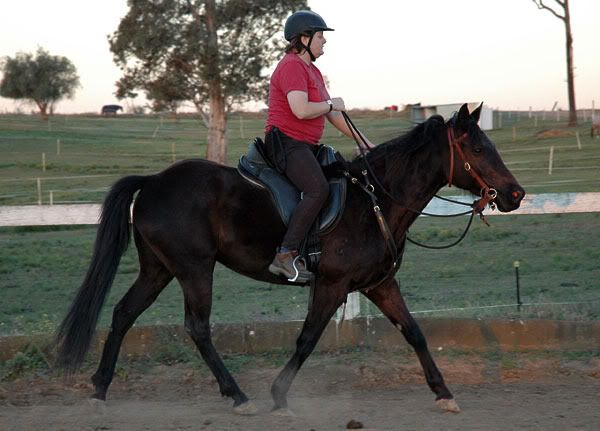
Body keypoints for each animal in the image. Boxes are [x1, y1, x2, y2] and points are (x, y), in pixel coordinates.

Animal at [56, 104, 524, 416]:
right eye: (476, 148)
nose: (515, 194)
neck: (374, 201)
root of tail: (153, 181)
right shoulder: (332, 286)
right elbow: (307, 339)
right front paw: (279, 394)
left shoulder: (379, 284)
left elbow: (415, 333)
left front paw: (443, 392)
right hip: (194, 270)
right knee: (198, 328)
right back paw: (237, 395)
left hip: (159, 269)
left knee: (122, 313)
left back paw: (100, 389)